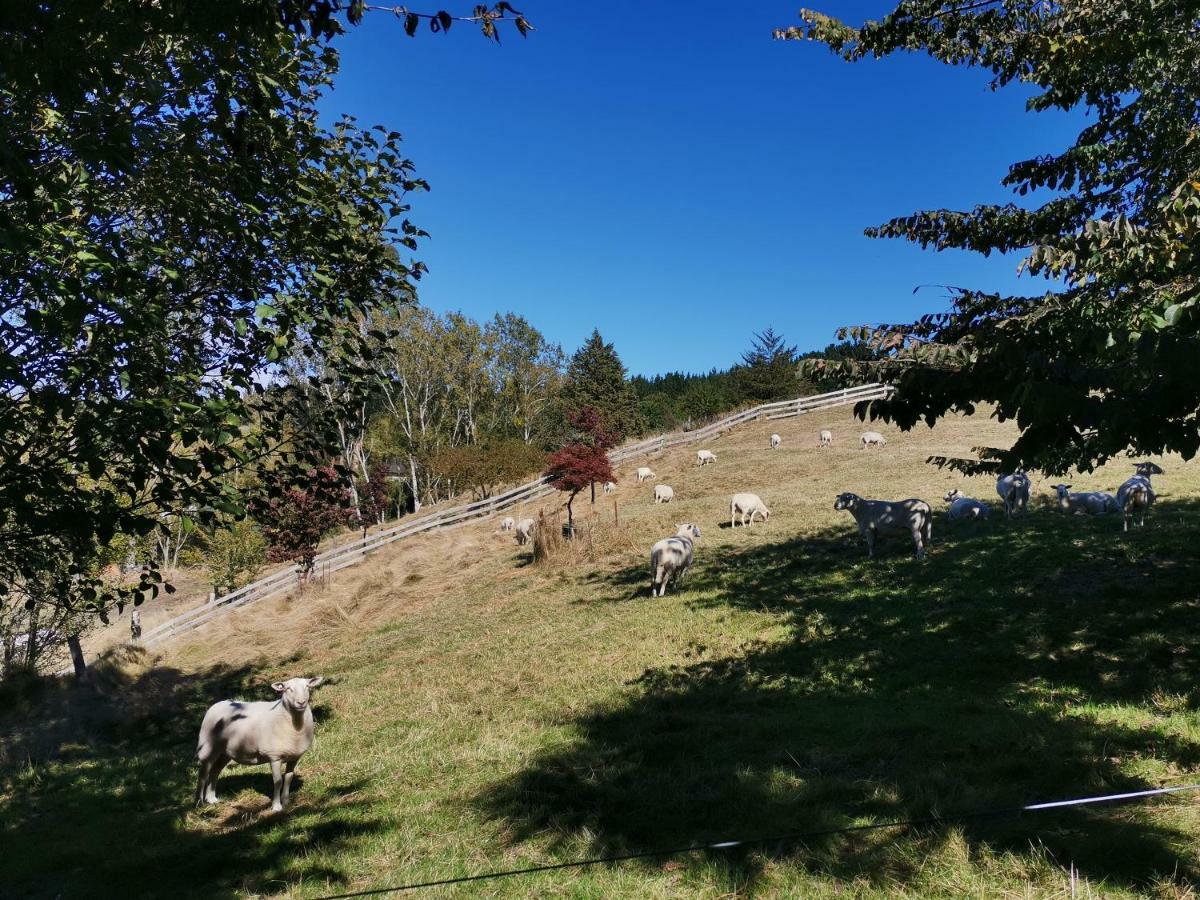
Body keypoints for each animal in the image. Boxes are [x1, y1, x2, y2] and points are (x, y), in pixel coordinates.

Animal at [194, 676, 324, 816]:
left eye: (307, 687)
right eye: (288, 688)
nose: (301, 702)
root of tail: (216, 704)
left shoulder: (294, 756)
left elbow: (288, 778)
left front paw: (286, 802)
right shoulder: (274, 756)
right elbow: (278, 781)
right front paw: (276, 806)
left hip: (225, 752)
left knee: (214, 771)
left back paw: (212, 799)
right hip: (207, 747)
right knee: (203, 774)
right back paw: (199, 802)